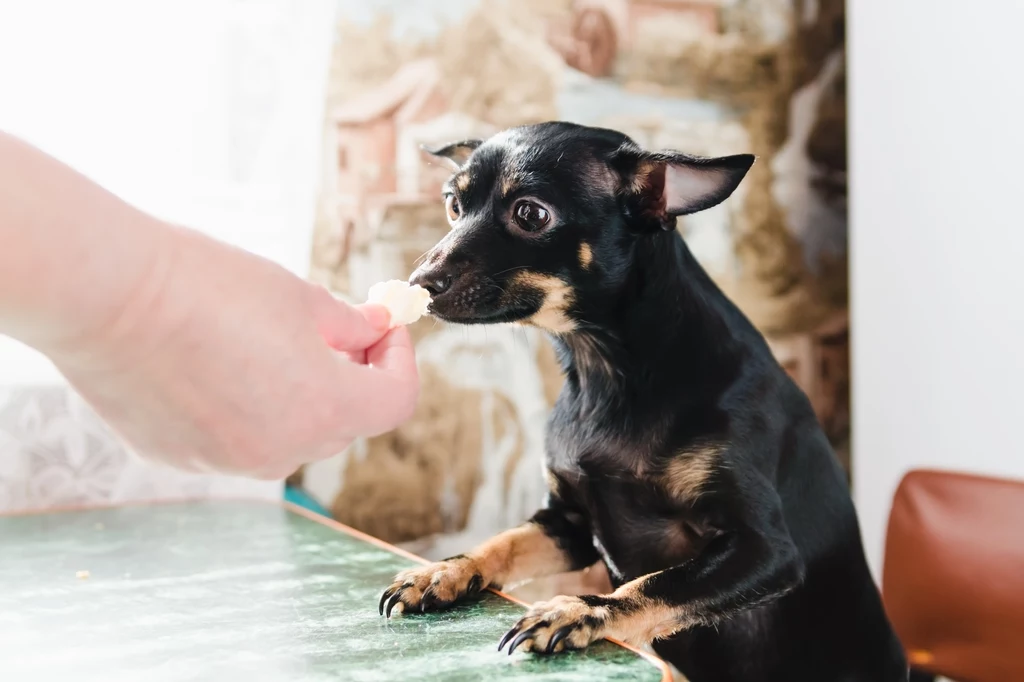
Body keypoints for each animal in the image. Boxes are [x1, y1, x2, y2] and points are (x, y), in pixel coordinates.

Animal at [380, 122, 909, 679]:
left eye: (531, 215)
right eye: (453, 205)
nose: (419, 283)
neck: (605, 373)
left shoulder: (766, 550)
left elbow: (657, 584)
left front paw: (579, 610)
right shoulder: (568, 524)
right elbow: (502, 541)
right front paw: (442, 572)